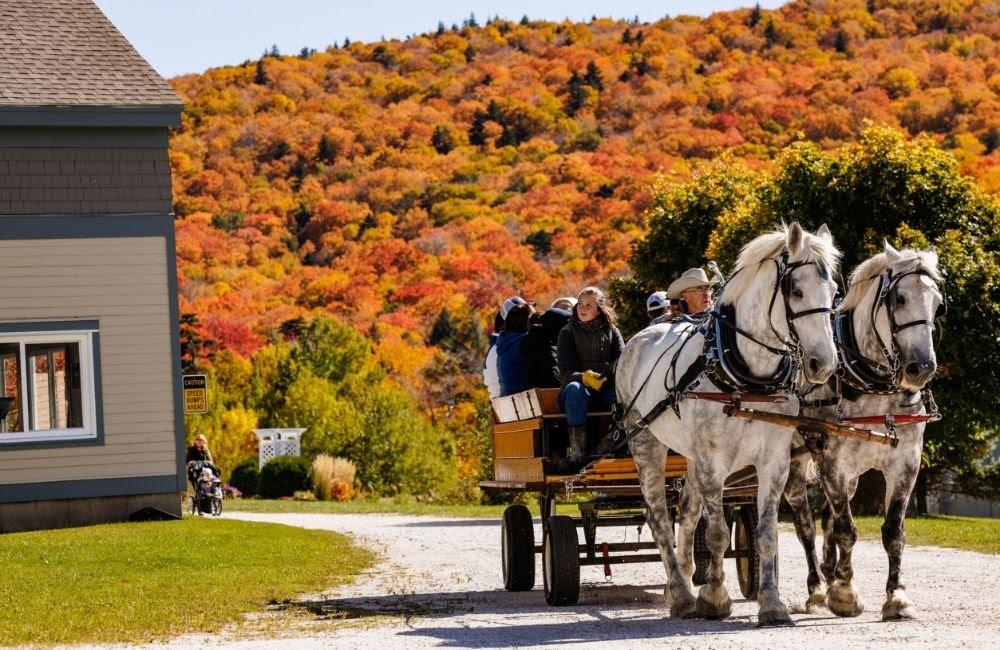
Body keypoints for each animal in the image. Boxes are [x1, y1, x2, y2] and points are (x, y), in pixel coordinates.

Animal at [616, 222, 841, 626]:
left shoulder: (774, 461)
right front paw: (715, 597)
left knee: (687, 512)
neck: (748, 376)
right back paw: (681, 594)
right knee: (659, 517)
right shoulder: (712, 460)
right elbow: (718, 533)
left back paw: (682, 580)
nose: (823, 364)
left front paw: (771, 603)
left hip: (689, 454)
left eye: (833, 292)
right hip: (645, 443)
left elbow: (766, 534)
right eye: (796, 291)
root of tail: (641, 336)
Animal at [782, 242, 944, 620]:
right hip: (793, 462)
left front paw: (897, 597)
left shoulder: (905, 463)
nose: (921, 368)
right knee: (805, 522)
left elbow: (893, 531)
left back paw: (829, 571)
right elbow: (847, 529)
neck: (875, 387)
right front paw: (845, 593)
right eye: (899, 298)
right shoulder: (834, 463)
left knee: (827, 515)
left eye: (938, 304)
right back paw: (817, 588)